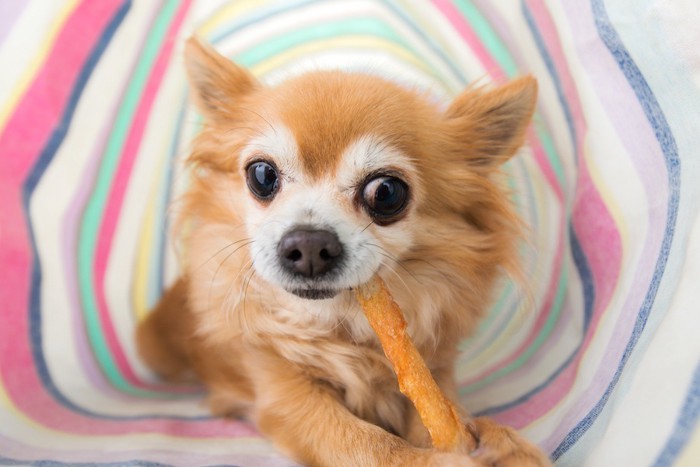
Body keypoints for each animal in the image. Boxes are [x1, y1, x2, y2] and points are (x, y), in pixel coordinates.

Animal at [137, 37, 552, 467]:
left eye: (386, 192)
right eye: (262, 175)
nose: (308, 245)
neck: (341, 323)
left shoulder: (434, 371)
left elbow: (444, 410)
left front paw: (498, 441)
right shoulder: (287, 394)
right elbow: (367, 443)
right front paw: (440, 460)